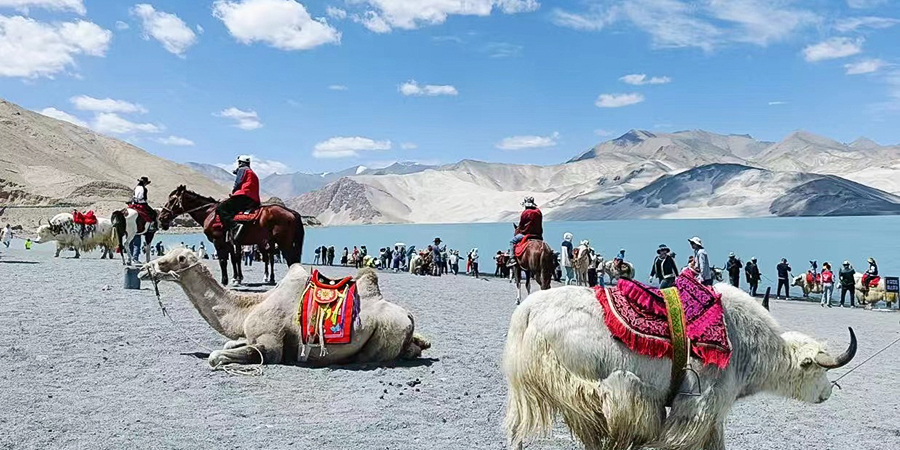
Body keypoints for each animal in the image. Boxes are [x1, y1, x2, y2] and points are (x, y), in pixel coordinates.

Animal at [142, 248, 430, 368]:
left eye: (173, 259)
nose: (144, 269)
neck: (251, 307)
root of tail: (407, 315)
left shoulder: (271, 344)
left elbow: (216, 356)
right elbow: (227, 344)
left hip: (383, 335)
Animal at [156, 185, 304, 284]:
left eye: (172, 200)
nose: (161, 218)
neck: (210, 213)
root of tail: (291, 212)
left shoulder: (219, 241)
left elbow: (223, 260)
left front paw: (225, 280)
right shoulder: (232, 243)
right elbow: (234, 259)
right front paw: (236, 278)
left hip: (282, 243)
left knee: (286, 260)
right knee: (275, 259)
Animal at [502, 284, 856, 450]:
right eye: (816, 368)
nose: (827, 393)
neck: (744, 344)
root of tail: (528, 309)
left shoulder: (710, 414)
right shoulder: (699, 403)